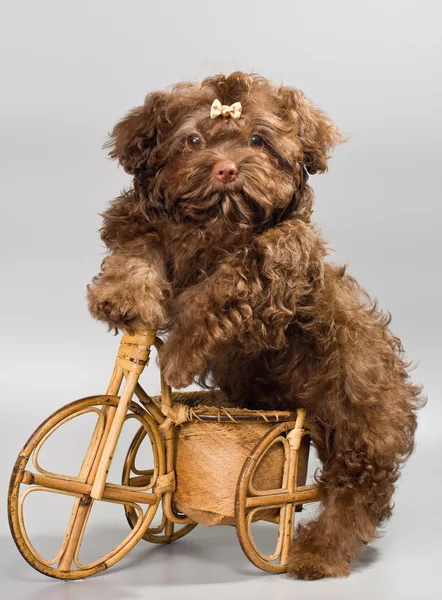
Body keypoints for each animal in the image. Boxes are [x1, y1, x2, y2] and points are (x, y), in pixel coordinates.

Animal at [87, 72, 424, 580]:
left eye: (257, 141)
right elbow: (136, 250)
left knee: (356, 487)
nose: (226, 169)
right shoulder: (144, 223)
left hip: (360, 407)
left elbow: (226, 285)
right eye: (194, 140)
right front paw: (122, 297)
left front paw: (178, 356)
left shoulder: (282, 257)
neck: (220, 220)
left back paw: (320, 552)